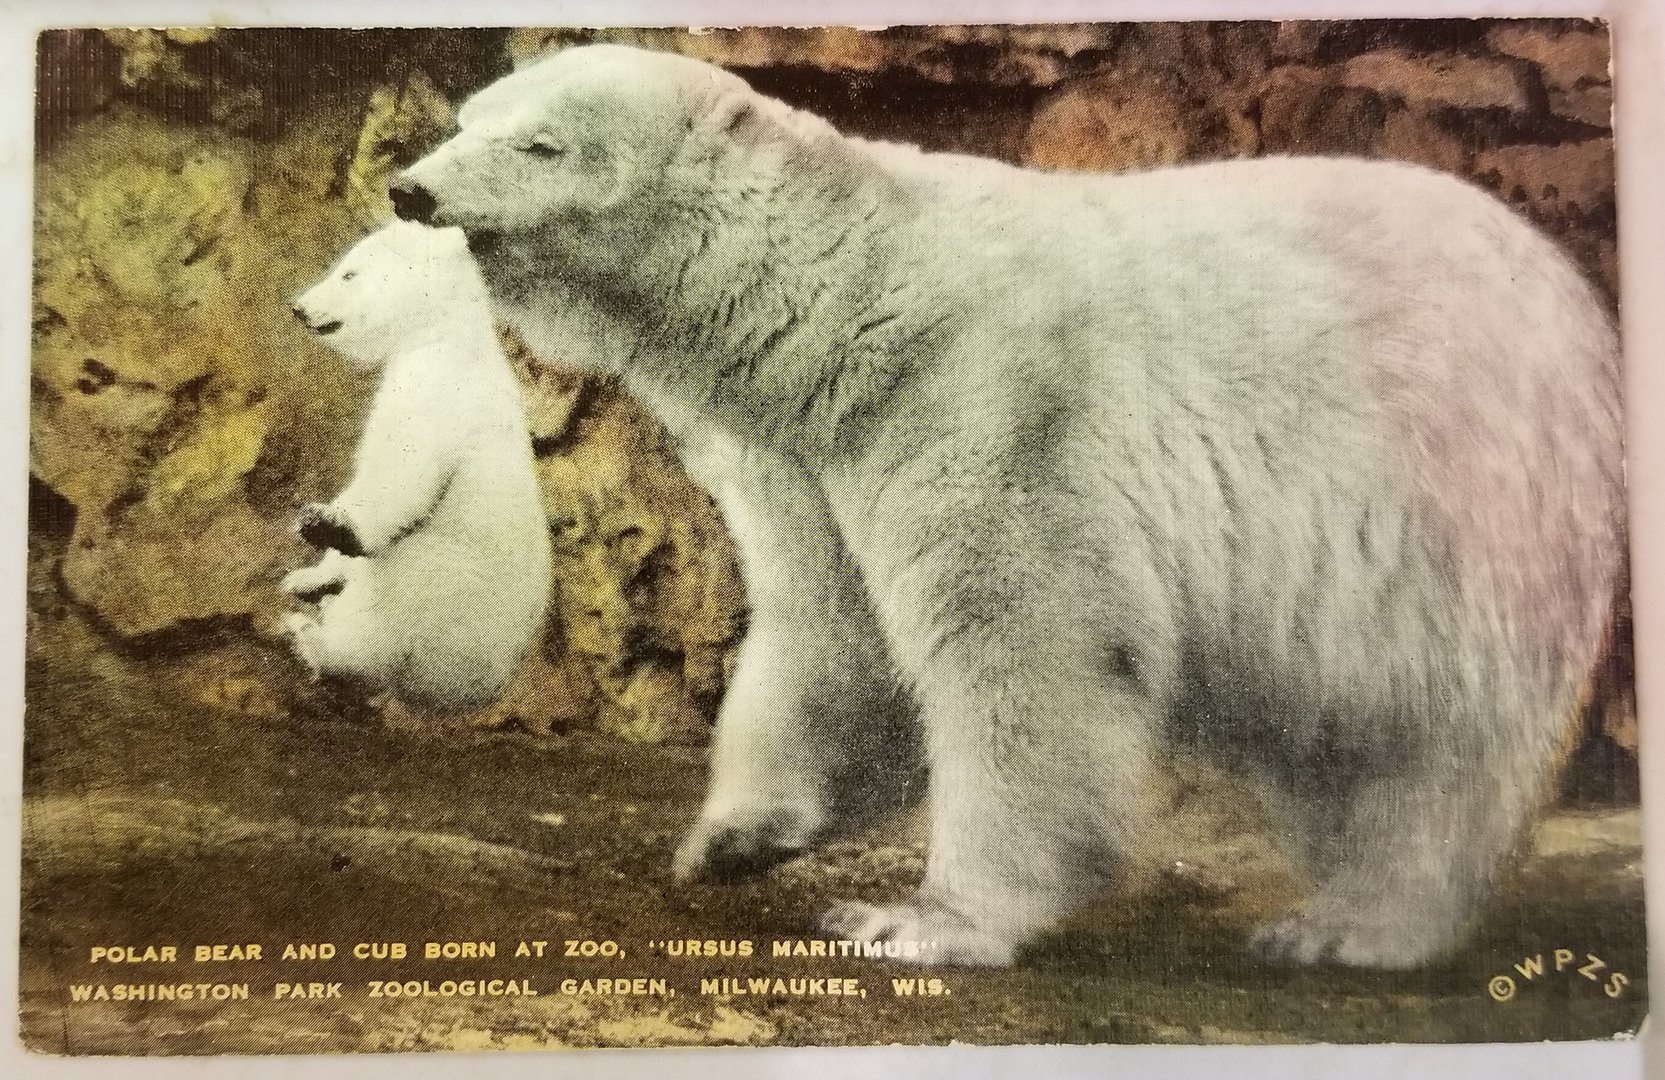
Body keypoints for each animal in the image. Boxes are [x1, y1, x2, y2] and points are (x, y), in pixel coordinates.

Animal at [282, 219, 553, 715]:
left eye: (349, 274)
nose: (300, 307)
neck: (444, 338)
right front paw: (307, 572)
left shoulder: (438, 398)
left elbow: (399, 478)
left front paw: (326, 524)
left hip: (445, 581)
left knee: (380, 616)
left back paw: (312, 638)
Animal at [389, 44, 1626, 968]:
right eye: (467, 117)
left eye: (542, 141)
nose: (411, 189)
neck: (853, 302)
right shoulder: (802, 461)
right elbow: (832, 635)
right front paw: (733, 836)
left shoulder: (994, 404)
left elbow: (1025, 648)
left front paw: (919, 920)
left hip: (1456, 509)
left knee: (1426, 742)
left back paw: (1349, 926)